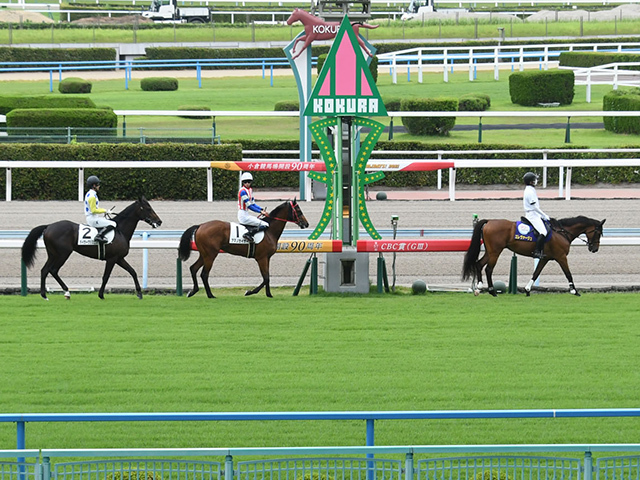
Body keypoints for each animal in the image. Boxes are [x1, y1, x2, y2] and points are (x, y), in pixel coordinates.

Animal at [21, 196, 164, 300]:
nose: (159, 221)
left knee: (44, 270)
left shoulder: (119, 258)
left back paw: (45, 295)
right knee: (53, 270)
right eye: (148, 208)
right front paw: (101, 295)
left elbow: (132, 271)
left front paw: (139, 293)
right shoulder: (112, 259)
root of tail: (49, 226)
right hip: (63, 254)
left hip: (53, 254)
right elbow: (106, 276)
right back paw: (66, 292)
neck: (120, 230)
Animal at [179, 198, 308, 296]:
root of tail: (200, 225)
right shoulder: (261, 258)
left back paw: (193, 291)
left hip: (204, 254)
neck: (269, 231)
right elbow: (265, 277)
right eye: (298, 209)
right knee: (204, 274)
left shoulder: (267, 258)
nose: (306, 224)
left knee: (193, 268)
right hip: (210, 255)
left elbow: (267, 277)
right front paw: (250, 292)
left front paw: (269, 294)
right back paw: (210, 295)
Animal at [460, 215, 604, 296]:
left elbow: (536, 272)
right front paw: (574, 291)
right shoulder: (561, 257)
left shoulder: (545, 258)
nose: (595, 248)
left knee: (479, 264)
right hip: (495, 252)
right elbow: (568, 273)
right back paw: (492, 291)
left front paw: (528, 289)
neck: (562, 232)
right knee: (488, 269)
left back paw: (479, 287)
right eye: (598, 233)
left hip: (490, 252)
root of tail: (489, 221)